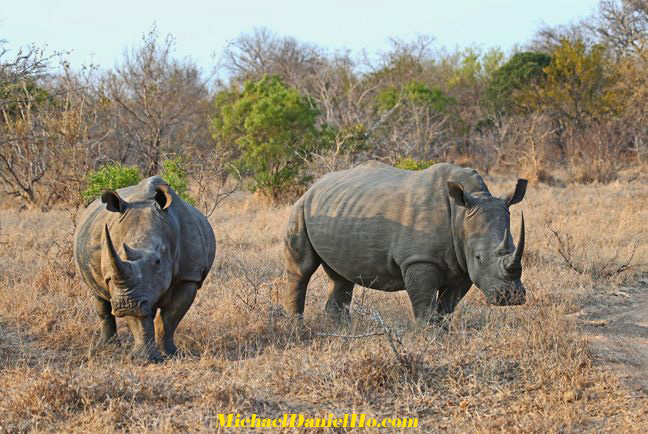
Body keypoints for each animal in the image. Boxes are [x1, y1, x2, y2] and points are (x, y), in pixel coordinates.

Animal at [73, 176, 215, 362]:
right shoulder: (126, 289)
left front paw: (170, 354)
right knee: (98, 296)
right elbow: (139, 318)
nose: (125, 305)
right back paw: (106, 346)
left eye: (158, 261)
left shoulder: (189, 276)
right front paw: (143, 359)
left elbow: (170, 317)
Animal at [284, 163, 528, 322]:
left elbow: (447, 307)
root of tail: (315, 186)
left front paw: (443, 335)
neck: (462, 215)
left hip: (340, 209)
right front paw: (428, 337)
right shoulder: (419, 260)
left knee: (341, 277)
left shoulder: (462, 264)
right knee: (301, 270)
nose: (511, 298)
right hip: (301, 207)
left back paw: (341, 329)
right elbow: (424, 306)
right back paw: (297, 327)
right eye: (479, 258)